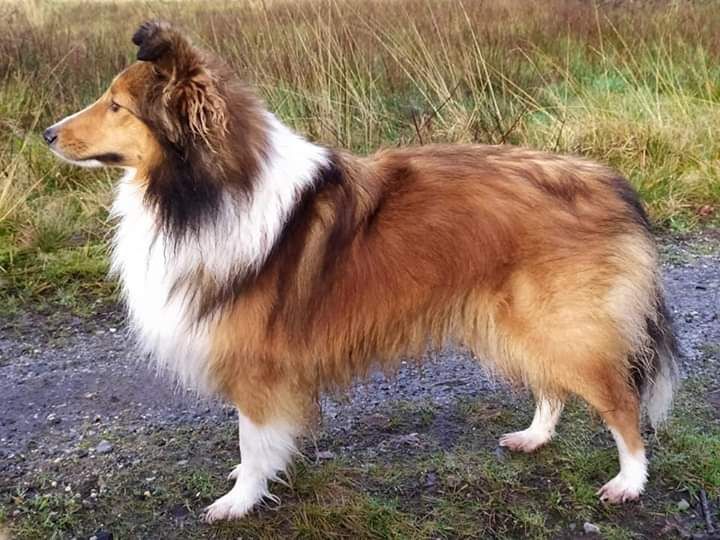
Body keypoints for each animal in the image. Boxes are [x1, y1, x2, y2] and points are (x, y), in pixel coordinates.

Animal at [44, 21, 678, 522]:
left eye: (118, 105)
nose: (46, 134)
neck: (211, 190)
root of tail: (611, 183)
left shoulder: (257, 366)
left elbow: (252, 439)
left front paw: (239, 500)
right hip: (520, 322)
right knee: (552, 387)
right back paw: (534, 437)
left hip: (559, 323)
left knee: (621, 402)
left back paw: (629, 482)